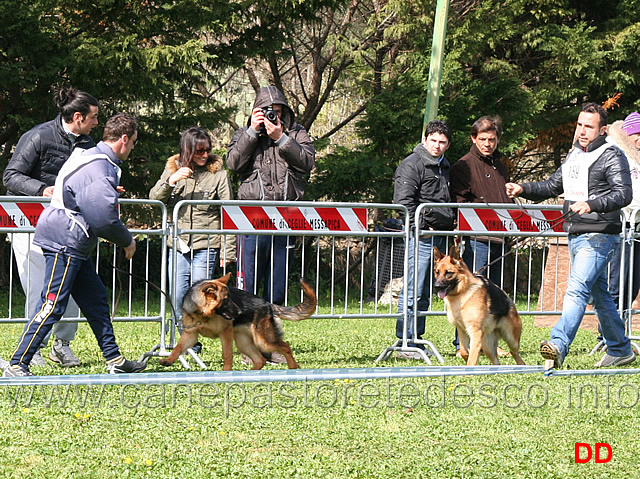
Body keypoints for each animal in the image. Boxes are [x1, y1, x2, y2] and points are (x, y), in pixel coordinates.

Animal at [159, 274, 316, 372]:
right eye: (226, 299)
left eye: (229, 297)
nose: (240, 312)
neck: (204, 315)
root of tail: (268, 304)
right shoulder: (190, 335)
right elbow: (178, 348)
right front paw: (168, 360)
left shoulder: (225, 333)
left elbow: (227, 354)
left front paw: (226, 371)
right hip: (243, 343)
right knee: (260, 360)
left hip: (263, 341)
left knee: (285, 346)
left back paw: (293, 367)